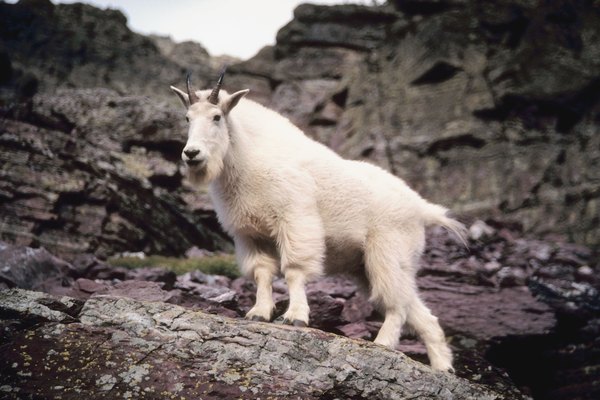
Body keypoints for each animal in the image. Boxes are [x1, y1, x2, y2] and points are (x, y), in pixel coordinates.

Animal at [171, 69, 466, 372]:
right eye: (187, 118)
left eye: (217, 116)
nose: (192, 154)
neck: (245, 157)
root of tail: (422, 208)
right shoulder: (250, 234)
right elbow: (262, 273)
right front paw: (259, 313)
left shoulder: (294, 219)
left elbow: (294, 270)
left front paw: (295, 317)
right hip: (371, 265)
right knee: (419, 311)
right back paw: (443, 367)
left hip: (388, 252)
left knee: (395, 302)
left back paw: (383, 344)